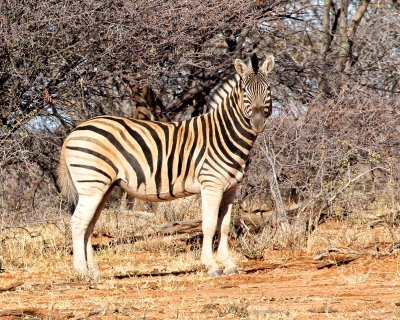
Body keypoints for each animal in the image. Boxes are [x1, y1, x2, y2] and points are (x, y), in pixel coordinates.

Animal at [57, 53, 274, 278]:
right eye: (244, 91)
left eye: (268, 89)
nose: (257, 122)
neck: (224, 134)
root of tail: (74, 131)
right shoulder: (211, 185)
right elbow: (209, 224)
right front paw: (211, 265)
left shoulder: (231, 188)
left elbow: (224, 226)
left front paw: (229, 265)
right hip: (92, 183)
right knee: (78, 222)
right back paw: (81, 272)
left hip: (103, 187)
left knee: (89, 224)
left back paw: (93, 272)